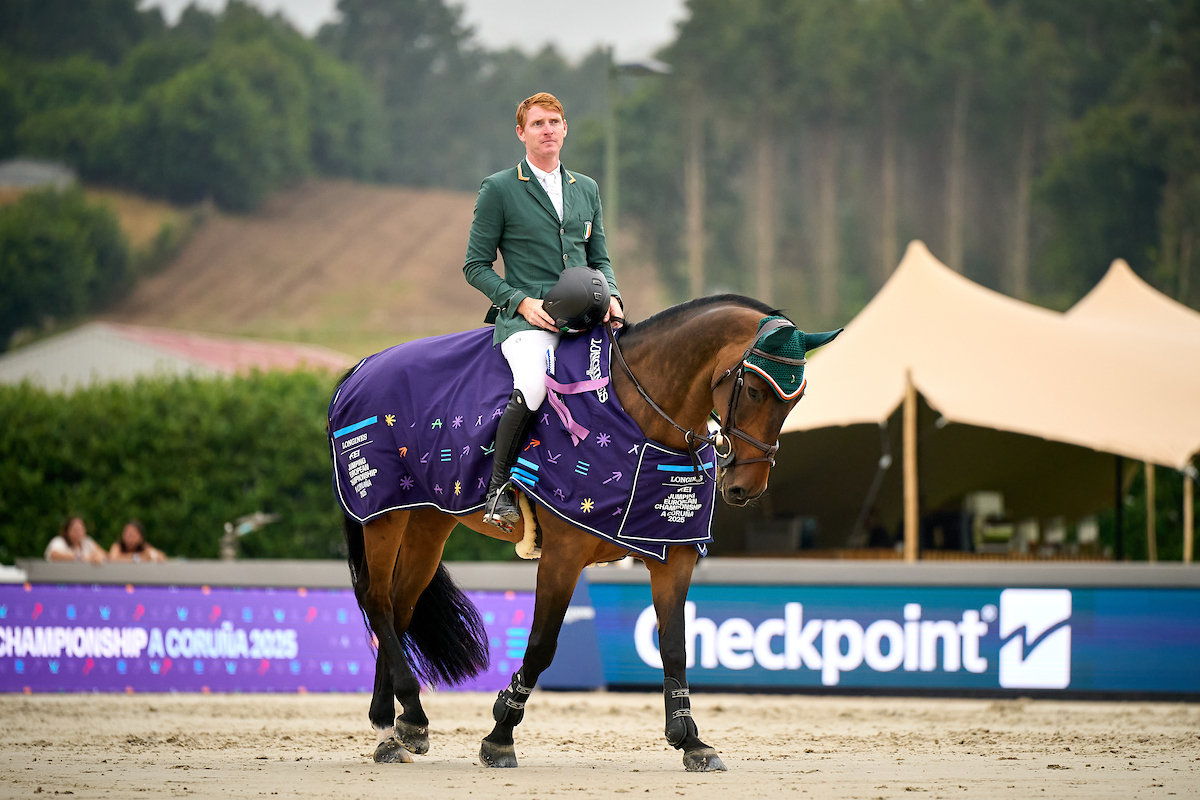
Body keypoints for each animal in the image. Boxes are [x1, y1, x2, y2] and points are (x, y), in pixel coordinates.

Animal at [334, 294, 839, 771]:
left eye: (795, 400)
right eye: (753, 390)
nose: (745, 488)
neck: (639, 418)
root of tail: (360, 367)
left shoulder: (673, 555)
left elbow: (674, 647)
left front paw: (692, 741)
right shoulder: (563, 555)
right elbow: (541, 645)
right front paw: (500, 735)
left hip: (427, 519)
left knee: (399, 608)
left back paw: (392, 727)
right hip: (381, 515)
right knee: (377, 601)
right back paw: (406, 718)